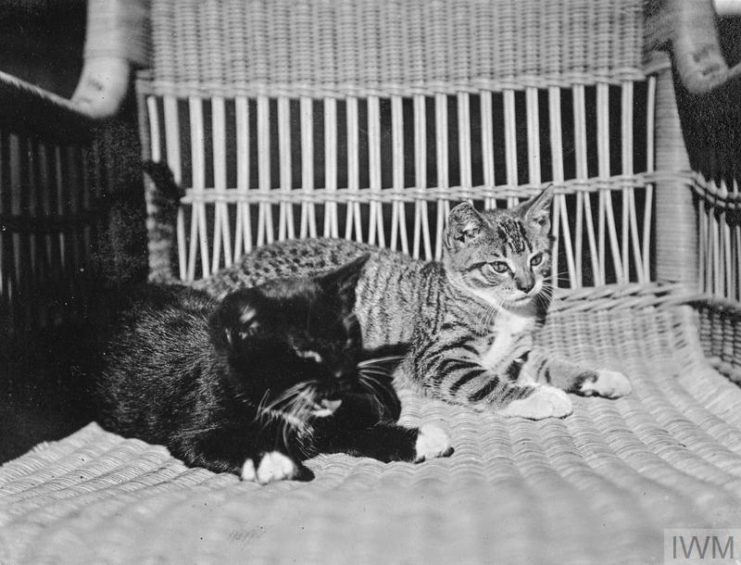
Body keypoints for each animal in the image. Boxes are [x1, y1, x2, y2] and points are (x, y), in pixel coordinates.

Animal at [92, 253, 450, 482]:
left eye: (347, 338)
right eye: (303, 350)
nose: (342, 374)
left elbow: (357, 431)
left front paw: (421, 438)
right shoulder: (193, 430)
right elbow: (227, 444)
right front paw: (275, 463)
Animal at [198, 186, 632, 418]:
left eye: (537, 259)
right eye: (498, 266)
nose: (527, 285)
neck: (499, 308)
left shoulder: (517, 353)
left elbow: (548, 364)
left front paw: (599, 377)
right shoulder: (438, 358)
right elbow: (486, 383)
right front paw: (541, 397)